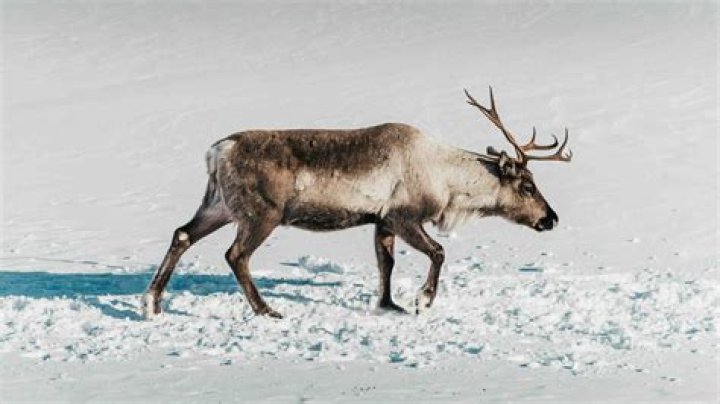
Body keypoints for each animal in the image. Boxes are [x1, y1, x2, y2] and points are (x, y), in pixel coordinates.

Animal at [142, 87, 572, 319]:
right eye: (528, 186)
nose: (551, 219)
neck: (448, 183)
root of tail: (217, 151)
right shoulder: (404, 215)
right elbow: (438, 251)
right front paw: (422, 300)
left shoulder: (381, 221)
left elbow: (386, 263)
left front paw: (388, 305)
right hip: (261, 213)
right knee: (236, 255)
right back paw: (266, 310)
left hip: (218, 204)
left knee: (182, 234)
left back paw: (152, 303)